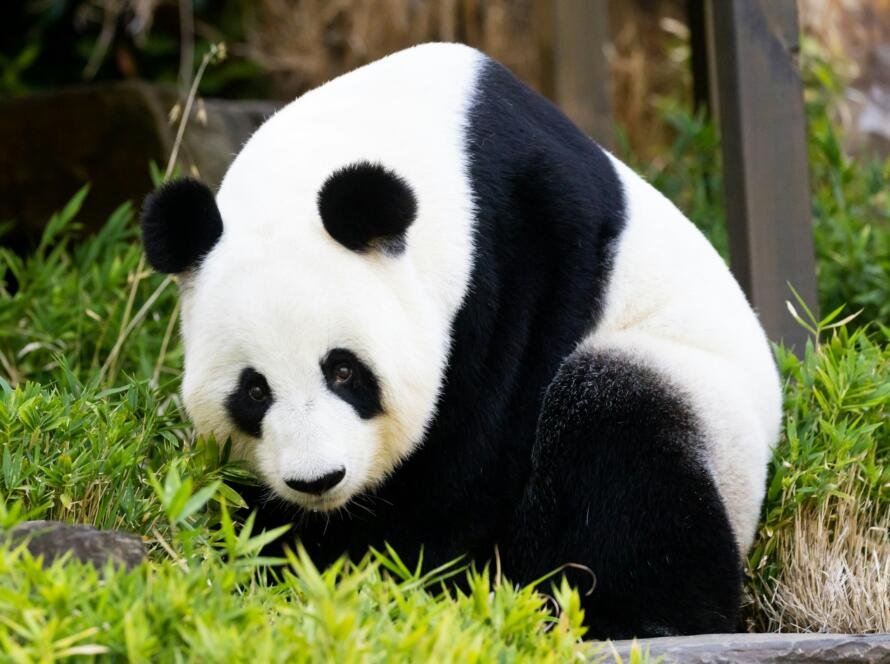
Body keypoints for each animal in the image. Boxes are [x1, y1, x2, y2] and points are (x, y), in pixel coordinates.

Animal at [139, 41, 776, 640]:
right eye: (253, 391)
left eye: (344, 370)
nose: (317, 480)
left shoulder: (521, 254)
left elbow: (473, 457)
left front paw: (389, 575)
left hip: (710, 420)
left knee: (622, 429)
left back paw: (639, 617)